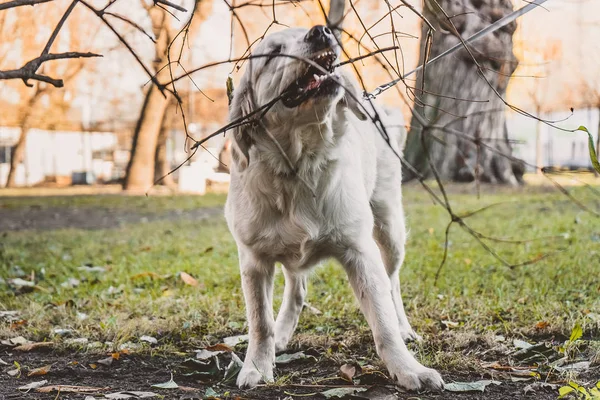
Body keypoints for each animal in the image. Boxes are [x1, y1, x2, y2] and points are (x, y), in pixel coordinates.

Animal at [223, 24, 442, 390]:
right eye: (273, 53)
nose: (320, 31)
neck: (299, 166)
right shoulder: (254, 260)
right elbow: (260, 323)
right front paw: (256, 366)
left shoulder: (360, 251)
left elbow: (382, 322)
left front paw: (409, 368)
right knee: (297, 288)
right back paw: (283, 332)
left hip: (389, 227)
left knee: (393, 283)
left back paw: (405, 328)